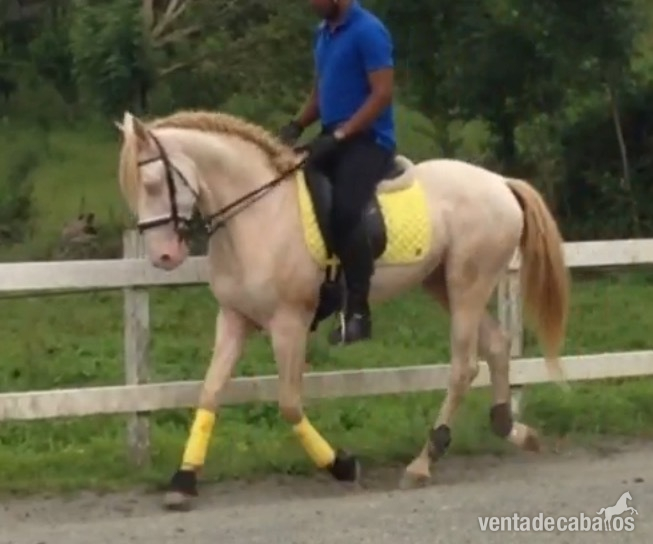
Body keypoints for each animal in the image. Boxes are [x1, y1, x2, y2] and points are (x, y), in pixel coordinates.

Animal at [115, 108, 570, 511]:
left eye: (152, 182)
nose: (164, 257)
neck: (258, 215)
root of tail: (500, 183)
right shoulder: (233, 319)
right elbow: (209, 393)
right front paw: (183, 481)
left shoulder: (289, 324)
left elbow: (289, 403)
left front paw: (342, 465)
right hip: (442, 283)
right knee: (497, 344)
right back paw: (512, 430)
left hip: (468, 284)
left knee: (464, 366)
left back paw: (423, 462)